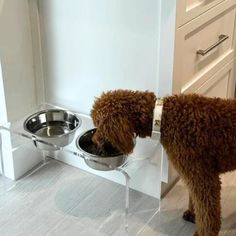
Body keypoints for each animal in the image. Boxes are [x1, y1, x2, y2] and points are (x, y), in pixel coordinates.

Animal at [91, 89, 236, 235]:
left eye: (97, 123)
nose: (93, 140)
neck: (163, 118)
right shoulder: (194, 176)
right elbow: (195, 202)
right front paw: (192, 215)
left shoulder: (204, 180)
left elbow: (207, 216)